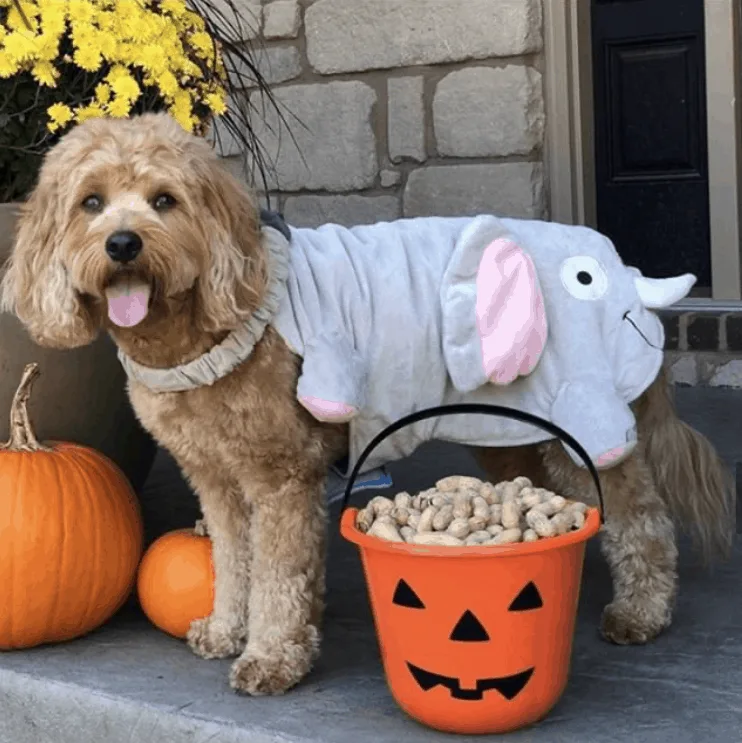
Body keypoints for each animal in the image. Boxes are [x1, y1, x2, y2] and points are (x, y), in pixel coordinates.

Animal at [1, 112, 740, 696]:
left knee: (643, 518)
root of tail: (621, 272)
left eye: (164, 199)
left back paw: (642, 611)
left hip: (578, 415)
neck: (203, 325)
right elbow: (233, 562)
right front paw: (226, 627)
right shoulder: (216, 480)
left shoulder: (281, 478)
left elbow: (278, 575)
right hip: (510, 437)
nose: (123, 244)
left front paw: (271, 656)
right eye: (90, 202)